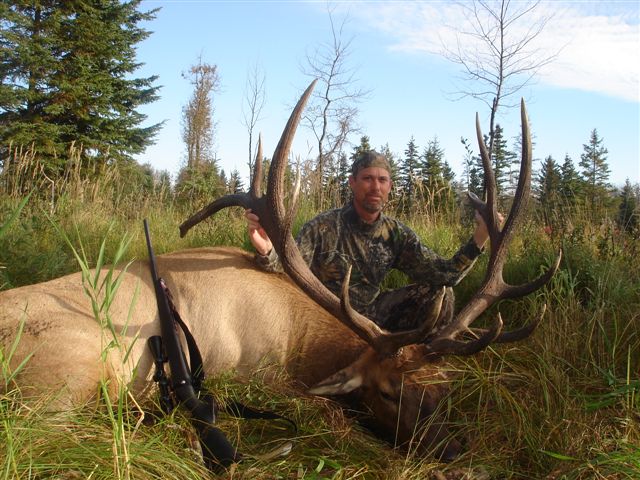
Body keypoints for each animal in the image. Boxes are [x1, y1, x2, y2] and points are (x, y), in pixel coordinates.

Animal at [0, 80, 561, 463]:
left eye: (442, 393)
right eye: (387, 392)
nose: (453, 451)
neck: (300, 340)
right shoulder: (254, 374)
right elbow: (323, 411)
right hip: (72, 369)